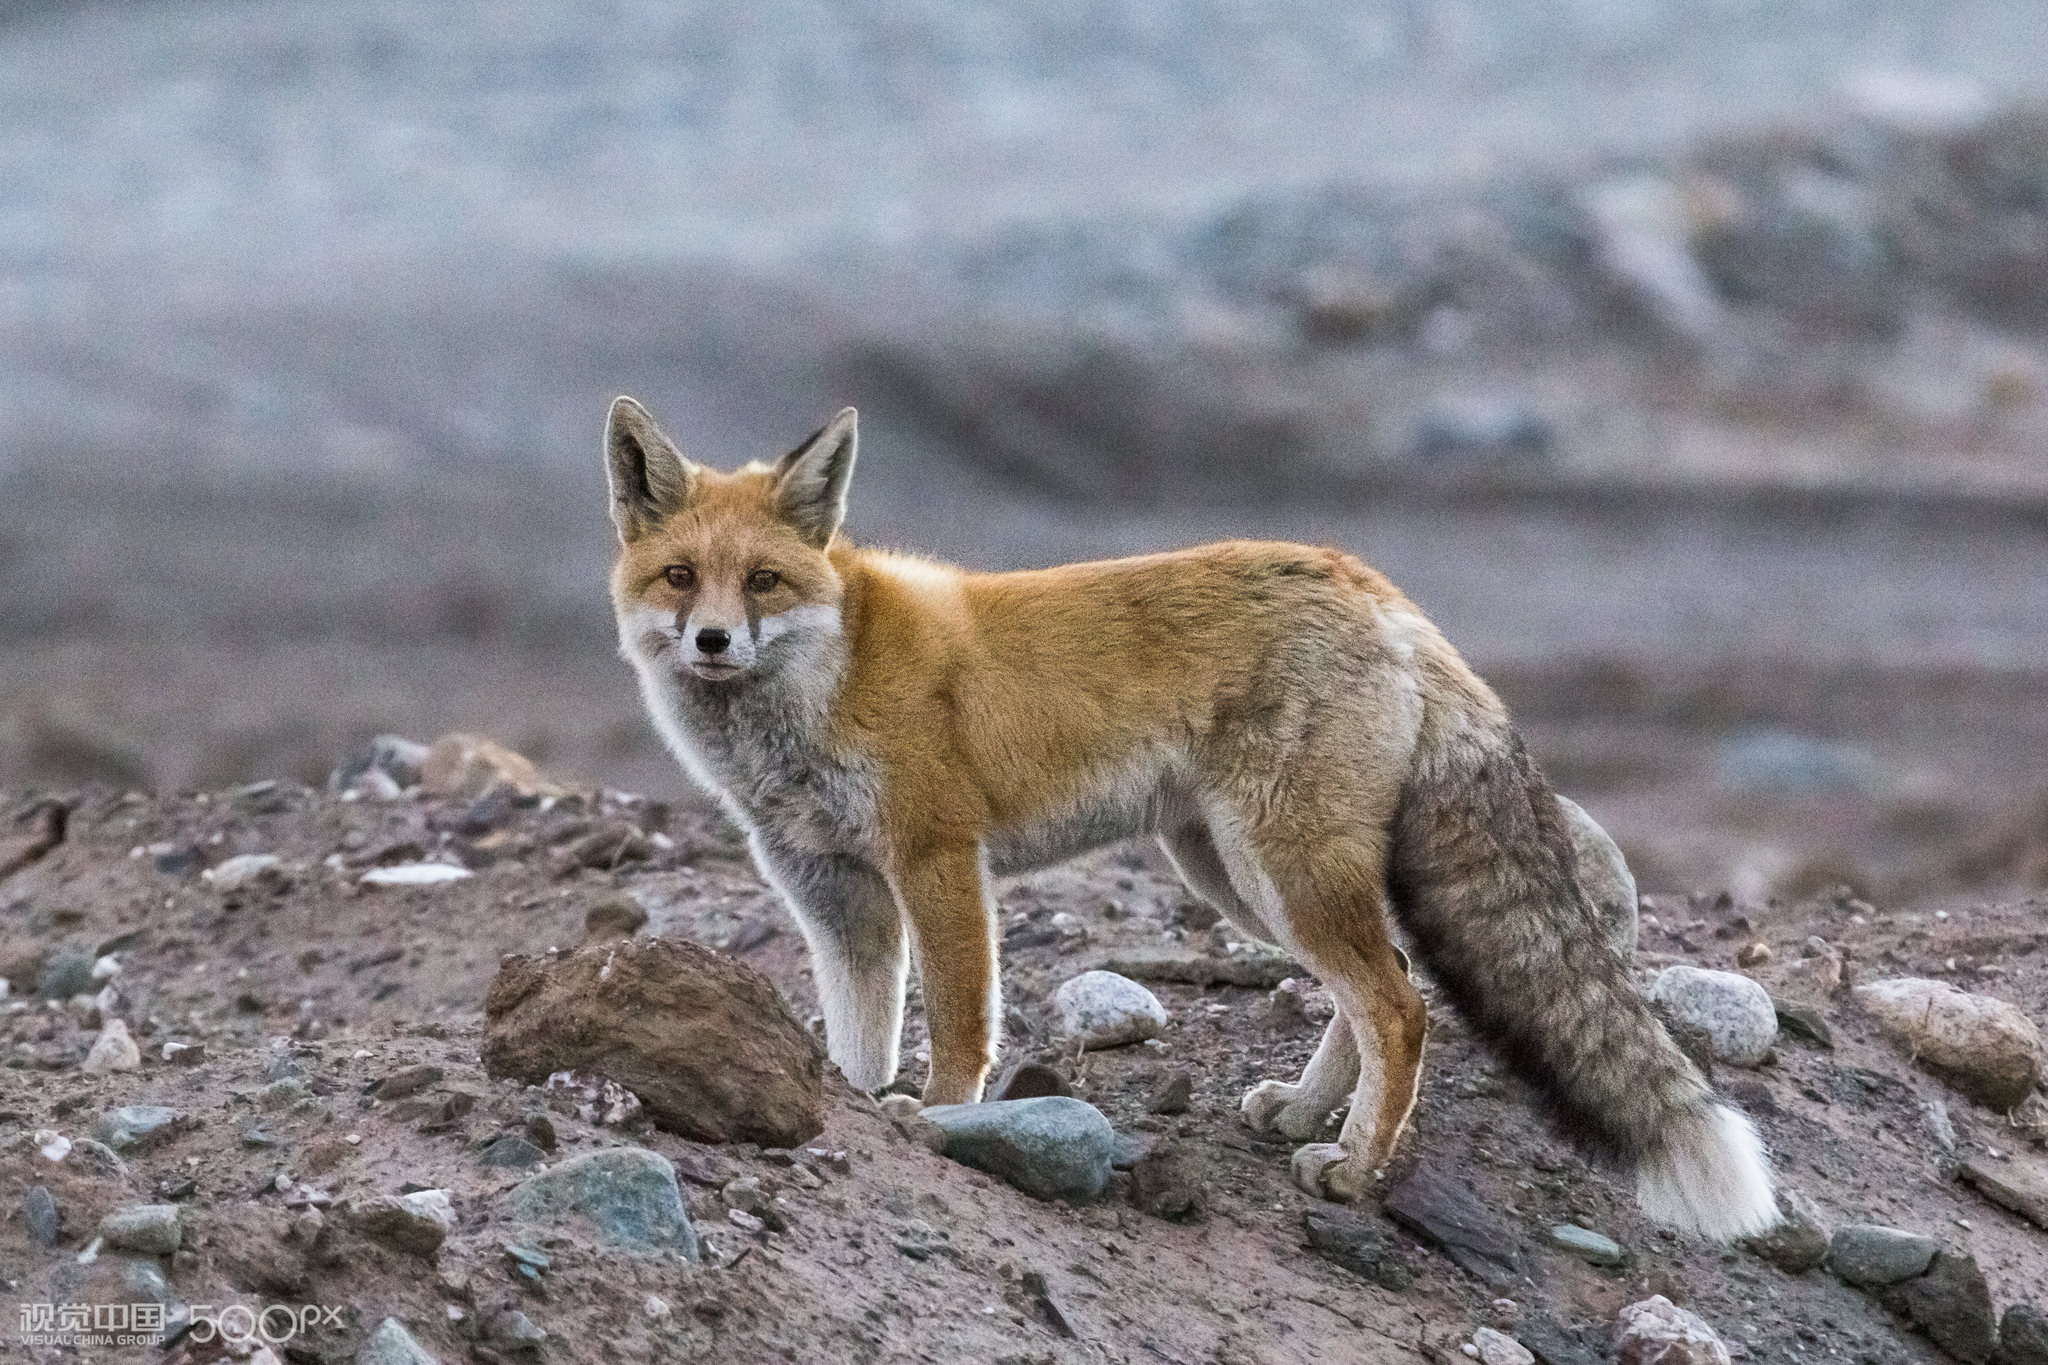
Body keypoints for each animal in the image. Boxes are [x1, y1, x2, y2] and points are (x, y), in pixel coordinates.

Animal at [598, 392, 1777, 1236]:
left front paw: (940, 1114)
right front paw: (850, 1099)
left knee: (1400, 1005)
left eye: (761, 582)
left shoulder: (937, 858)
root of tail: (1375, 587)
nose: (712, 642)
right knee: (1380, 989)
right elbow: (856, 1038)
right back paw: (1306, 1113)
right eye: (679, 578)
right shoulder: (833, 893)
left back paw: (1352, 1170)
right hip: (1237, 877)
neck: (822, 684)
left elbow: (960, 1021)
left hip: (1280, 872)